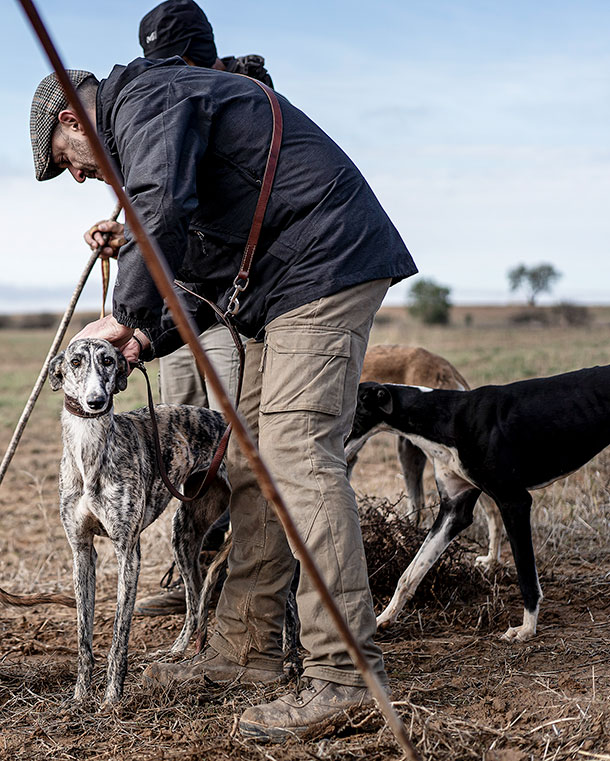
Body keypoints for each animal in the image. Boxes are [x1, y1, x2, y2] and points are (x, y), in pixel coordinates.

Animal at [346, 366, 608, 640]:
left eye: (350, 414)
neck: (445, 416)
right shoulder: (454, 509)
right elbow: (410, 573)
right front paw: (383, 619)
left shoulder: (514, 501)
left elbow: (525, 574)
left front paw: (526, 629)